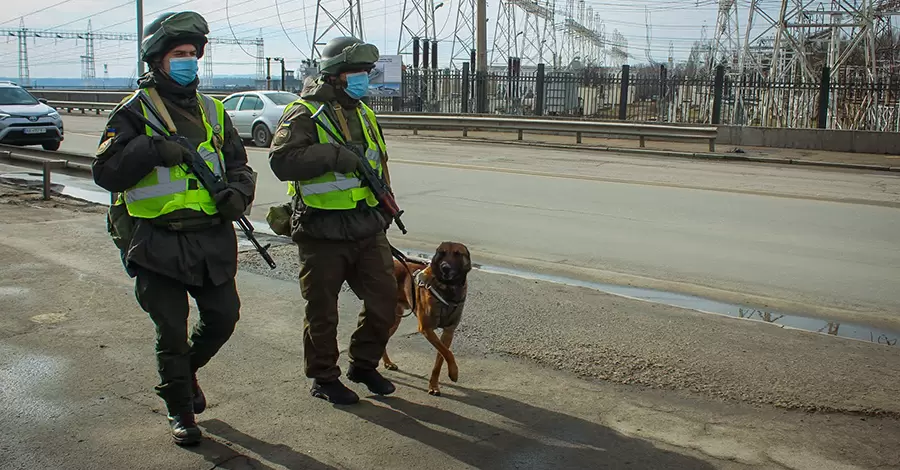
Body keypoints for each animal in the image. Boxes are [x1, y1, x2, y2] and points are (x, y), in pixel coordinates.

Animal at [384, 241, 474, 394]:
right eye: (442, 253)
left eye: (457, 254)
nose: (445, 267)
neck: (448, 290)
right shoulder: (426, 328)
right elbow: (448, 352)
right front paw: (454, 372)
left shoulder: (448, 332)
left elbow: (441, 358)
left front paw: (434, 385)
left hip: (395, 320)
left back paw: (387, 362)